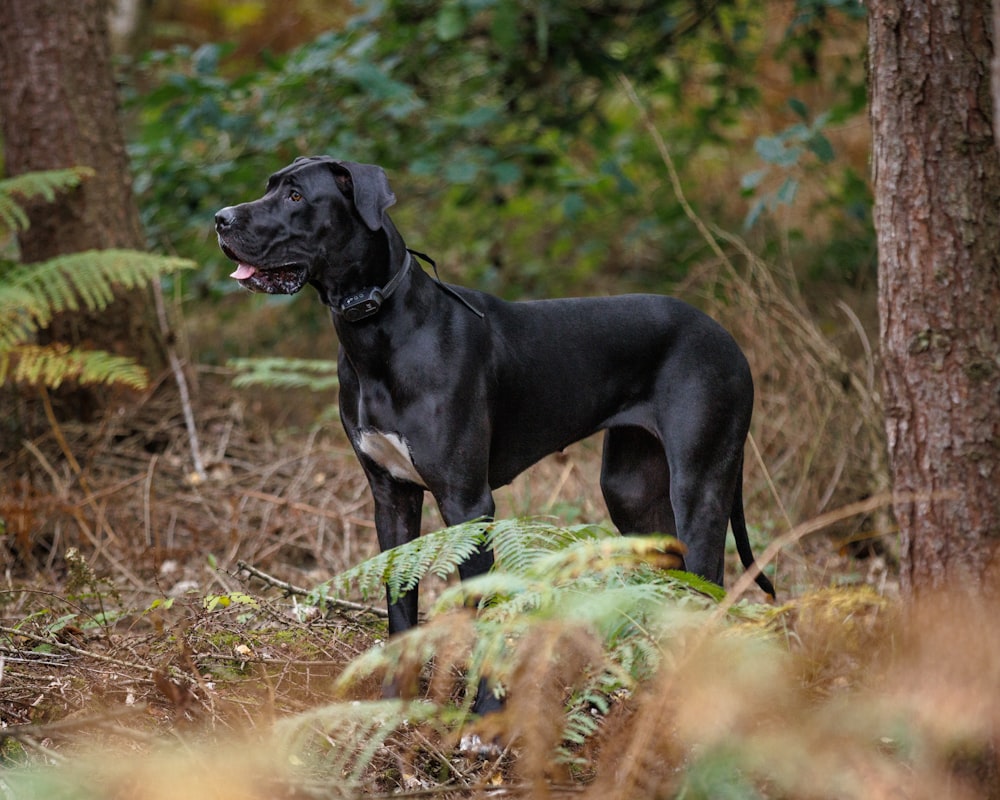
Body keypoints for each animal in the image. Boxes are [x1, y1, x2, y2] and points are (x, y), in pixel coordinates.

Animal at [217, 156, 772, 708]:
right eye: (269, 186)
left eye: (295, 196)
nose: (221, 218)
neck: (378, 329)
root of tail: (726, 335)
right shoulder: (391, 497)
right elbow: (400, 606)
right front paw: (394, 703)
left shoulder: (468, 503)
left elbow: (479, 610)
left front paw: (483, 713)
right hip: (631, 491)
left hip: (699, 487)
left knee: (710, 584)